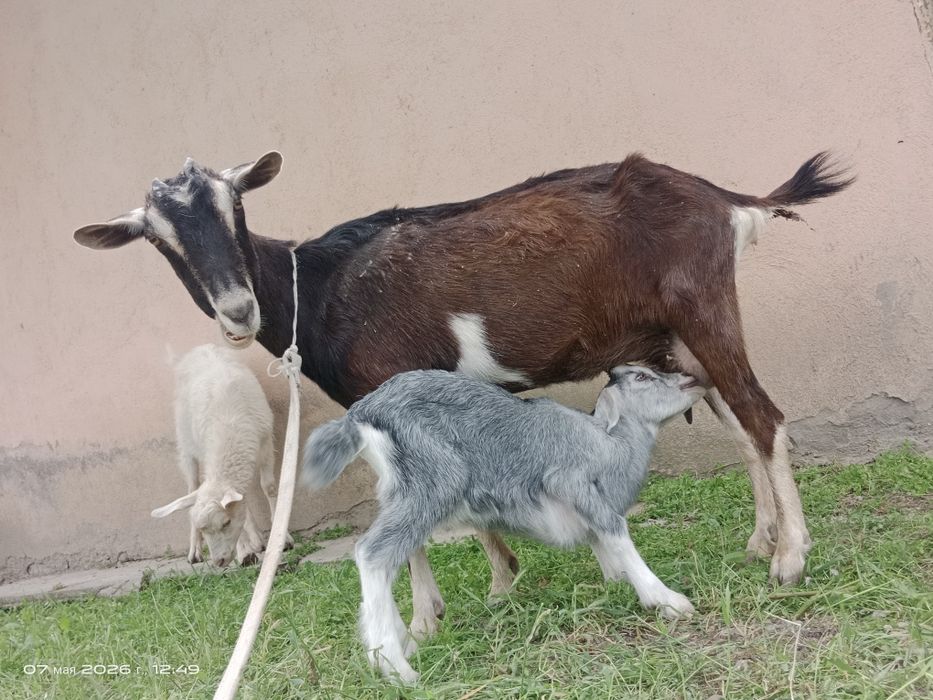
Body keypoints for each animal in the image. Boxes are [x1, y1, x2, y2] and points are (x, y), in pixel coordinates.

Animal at [151, 344, 291, 566]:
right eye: (204, 529)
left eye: (226, 523)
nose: (219, 561)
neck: (229, 426)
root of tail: (198, 349)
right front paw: (244, 553)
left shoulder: (266, 444)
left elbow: (268, 487)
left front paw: (283, 539)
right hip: (185, 444)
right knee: (192, 486)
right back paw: (195, 552)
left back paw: (257, 540)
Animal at [302, 365, 706, 683]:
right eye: (642, 376)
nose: (693, 379)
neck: (611, 442)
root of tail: (359, 416)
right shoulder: (572, 480)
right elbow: (616, 533)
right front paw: (667, 600)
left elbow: (602, 545)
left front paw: (618, 584)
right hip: (434, 485)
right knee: (373, 552)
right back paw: (396, 668)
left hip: (401, 492)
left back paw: (405, 640)